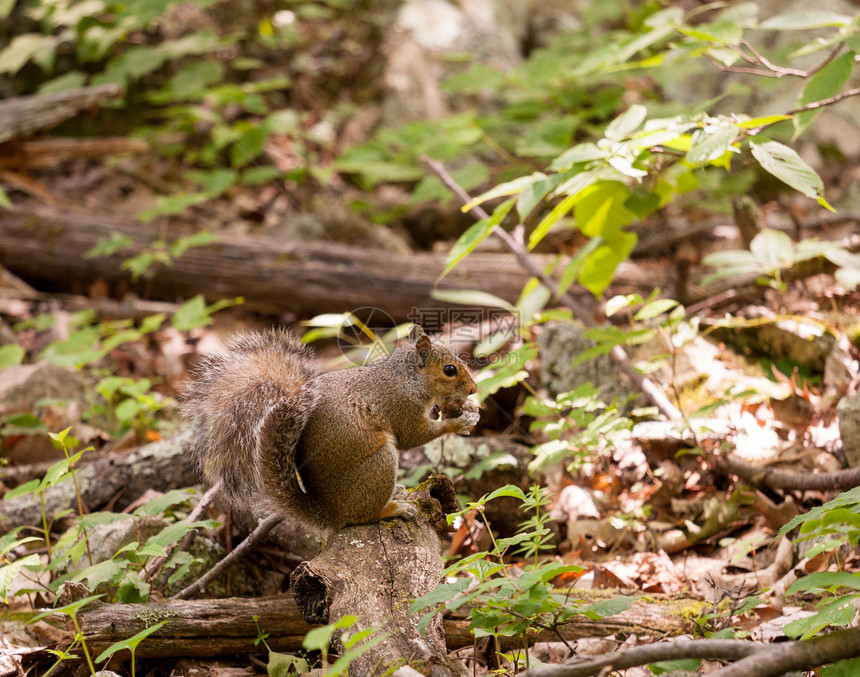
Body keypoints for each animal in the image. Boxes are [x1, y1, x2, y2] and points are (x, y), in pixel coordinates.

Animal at [182, 324, 480, 532]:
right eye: (450, 369)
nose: (474, 389)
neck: (406, 379)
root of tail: (331, 512)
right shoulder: (400, 406)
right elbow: (413, 436)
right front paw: (458, 421)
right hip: (379, 464)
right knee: (361, 516)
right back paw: (392, 509)